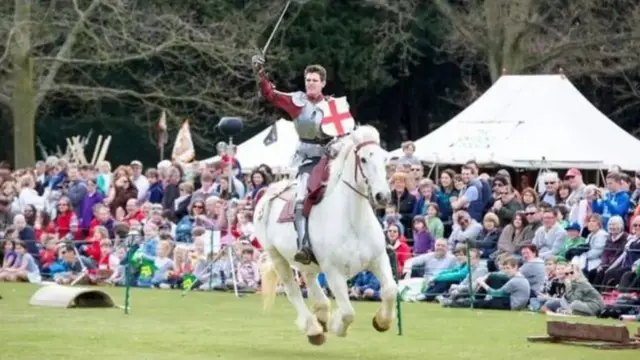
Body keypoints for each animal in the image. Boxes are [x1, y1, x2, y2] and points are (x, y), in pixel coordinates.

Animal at [254, 125, 396, 344]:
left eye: (384, 158)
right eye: (363, 159)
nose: (383, 196)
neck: (353, 221)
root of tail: (269, 190)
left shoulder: (378, 259)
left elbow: (390, 291)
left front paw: (382, 322)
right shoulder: (333, 272)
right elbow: (348, 312)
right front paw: (338, 326)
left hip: (306, 262)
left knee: (309, 279)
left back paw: (321, 314)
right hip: (277, 257)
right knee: (293, 290)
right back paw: (314, 329)